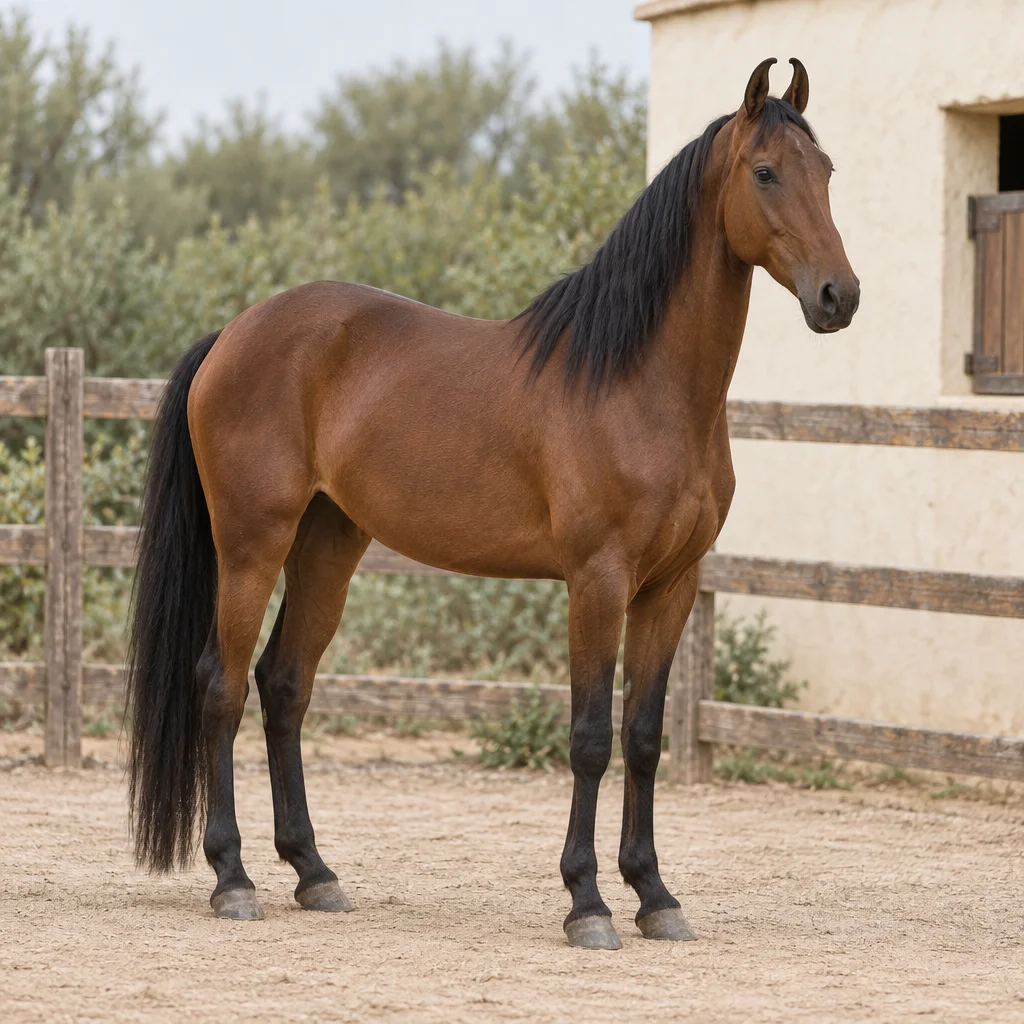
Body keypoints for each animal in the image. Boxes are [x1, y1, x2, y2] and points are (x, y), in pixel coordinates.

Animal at [126, 57, 859, 950]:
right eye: (764, 172)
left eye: (827, 172)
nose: (839, 296)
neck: (640, 383)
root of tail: (231, 336)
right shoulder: (598, 581)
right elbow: (590, 737)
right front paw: (587, 903)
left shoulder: (672, 586)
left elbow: (644, 737)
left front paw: (655, 894)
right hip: (251, 545)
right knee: (221, 686)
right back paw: (232, 878)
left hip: (329, 546)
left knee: (284, 684)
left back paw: (314, 872)